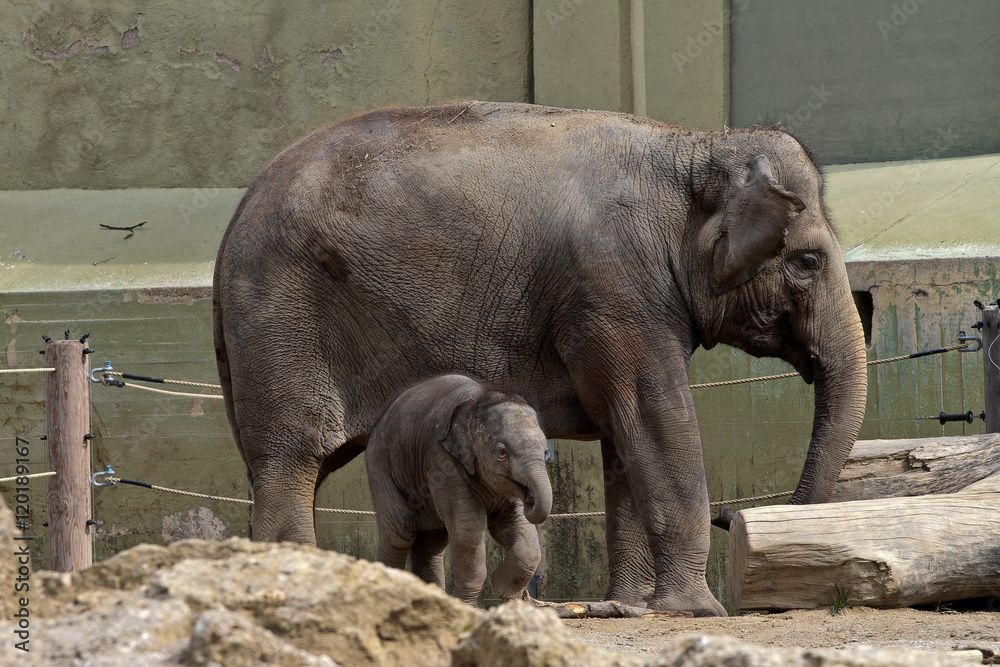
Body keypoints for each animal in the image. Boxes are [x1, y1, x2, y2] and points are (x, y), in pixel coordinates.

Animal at [365, 373, 551, 607]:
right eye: (501, 452)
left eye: (545, 452)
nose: (529, 497)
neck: (480, 398)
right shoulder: (442, 460)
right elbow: (468, 529)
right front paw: (474, 607)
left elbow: (516, 525)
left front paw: (506, 592)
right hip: (380, 465)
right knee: (399, 533)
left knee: (431, 543)